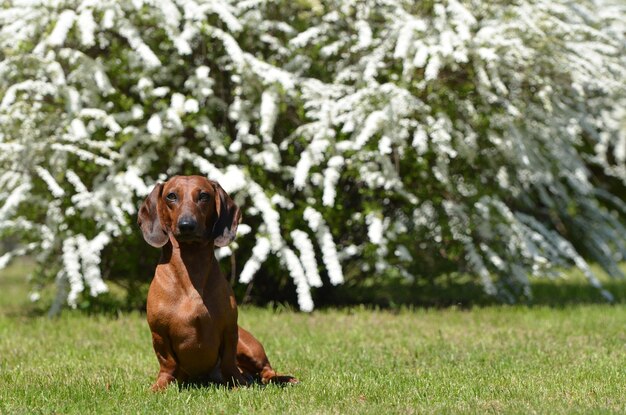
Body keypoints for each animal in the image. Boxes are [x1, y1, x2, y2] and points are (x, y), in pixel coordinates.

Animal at [137, 177, 298, 392]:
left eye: (204, 196)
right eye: (171, 196)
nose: (187, 225)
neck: (192, 267)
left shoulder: (229, 330)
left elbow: (228, 361)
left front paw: (238, 384)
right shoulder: (159, 334)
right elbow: (168, 364)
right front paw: (161, 386)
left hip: (249, 346)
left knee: (266, 371)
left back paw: (275, 379)